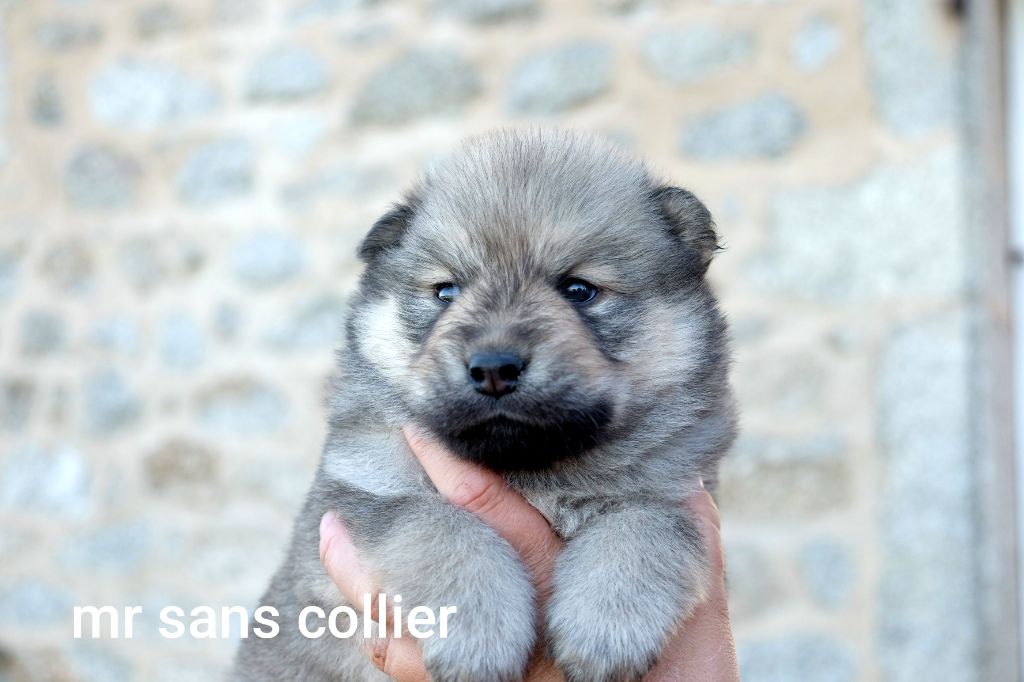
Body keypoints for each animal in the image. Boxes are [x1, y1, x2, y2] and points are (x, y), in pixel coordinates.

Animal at [233, 129, 736, 682]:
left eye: (579, 290)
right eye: (446, 291)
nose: (494, 367)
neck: (530, 472)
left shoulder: (676, 491)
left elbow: (641, 529)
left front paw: (606, 628)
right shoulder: (365, 494)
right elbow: (438, 529)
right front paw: (479, 633)